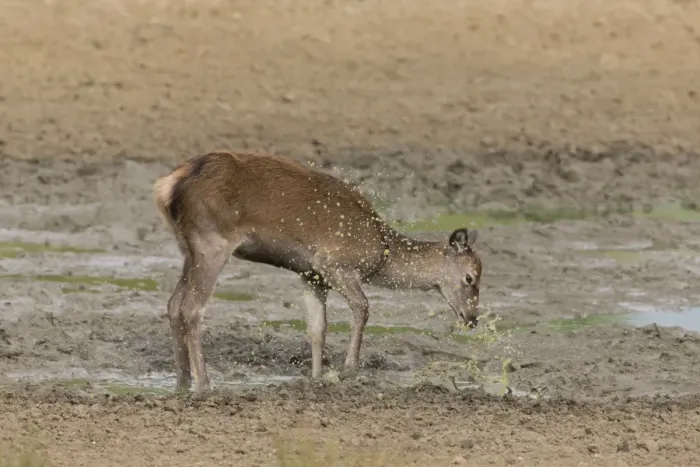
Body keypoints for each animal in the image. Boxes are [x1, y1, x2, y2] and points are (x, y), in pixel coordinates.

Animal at [153, 151, 483, 394]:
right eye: (470, 277)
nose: (472, 318)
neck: (382, 252)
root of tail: (168, 185)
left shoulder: (311, 275)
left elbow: (317, 327)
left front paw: (317, 377)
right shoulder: (334, 264)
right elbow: (362, 307)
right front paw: (348, 371)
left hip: (188, 248)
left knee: (173, 304)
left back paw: (182, 383)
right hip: (212, 243)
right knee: (192, 308)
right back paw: (205, 385)